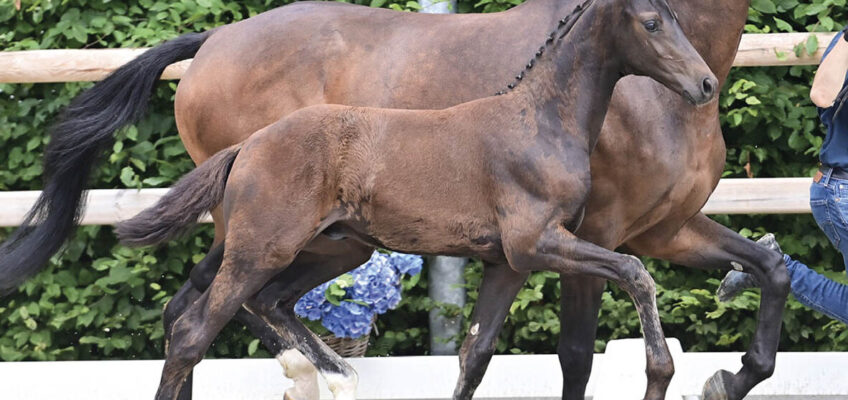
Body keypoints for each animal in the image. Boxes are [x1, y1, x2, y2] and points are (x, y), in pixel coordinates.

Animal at [117, 0, 716, 400]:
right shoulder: (539, 242)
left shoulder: (508, 261)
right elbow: (635, 271)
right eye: (652, 21)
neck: (541, 122)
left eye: (678, 17)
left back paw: (337, 374)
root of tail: (250, 145)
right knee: (192, 332)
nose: (706, 84)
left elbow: (474, 354)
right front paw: (660, 372)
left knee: (265, 304)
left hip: (337, 249)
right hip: (259, 250)